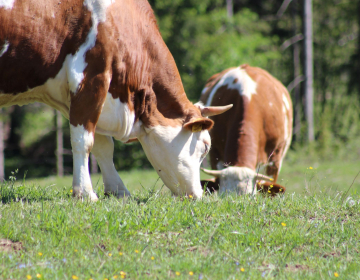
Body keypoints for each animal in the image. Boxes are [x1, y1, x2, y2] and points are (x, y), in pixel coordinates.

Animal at [0, 0, 231, 201]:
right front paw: (85, 193)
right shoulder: (91, 79)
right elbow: (83, 141)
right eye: (205, 146)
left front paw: (118, 190)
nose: (198, 196)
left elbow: (103, 146)